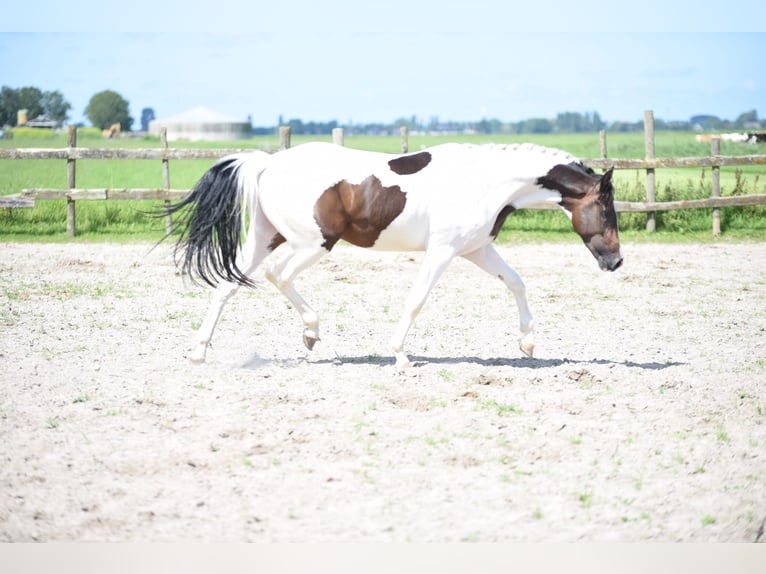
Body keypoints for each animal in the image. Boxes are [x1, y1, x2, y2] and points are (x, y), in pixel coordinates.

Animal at [166, 142, 624, 372]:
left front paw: (527, 343)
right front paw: (401, 355)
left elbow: (516, 281)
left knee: (227, 286)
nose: (616, 262)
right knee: (278, 277)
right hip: (312, 243)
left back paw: (198, 352)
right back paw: (311, 333)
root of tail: (268, 164)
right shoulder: (443, 251)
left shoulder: (476, 248)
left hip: (265, 237)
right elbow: (417, 300)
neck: (485, 182)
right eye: (606, 209)